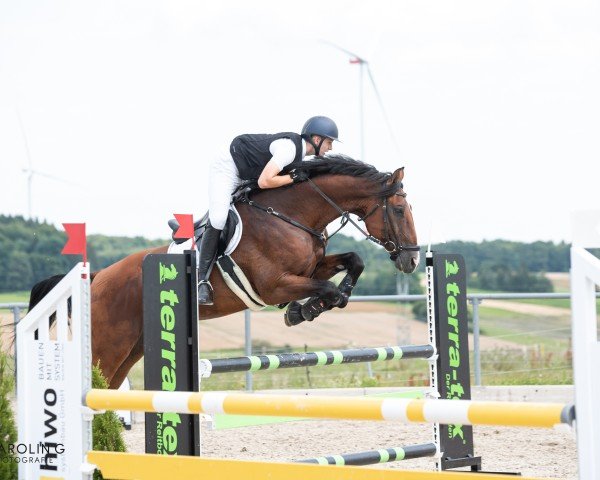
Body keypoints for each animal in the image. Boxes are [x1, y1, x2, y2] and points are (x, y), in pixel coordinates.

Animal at [28, 156, 420, 388]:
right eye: (401, 210)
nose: (412, 261)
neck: (291, 215)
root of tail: (97, 279)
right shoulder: (275, 286)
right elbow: (328, 289)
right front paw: (302, 311)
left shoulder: (310, 266)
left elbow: (353, 261)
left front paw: (308, 307)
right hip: (108, 344)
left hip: (133, 347)